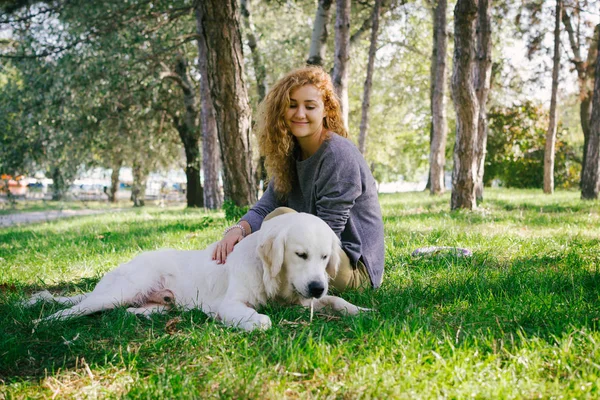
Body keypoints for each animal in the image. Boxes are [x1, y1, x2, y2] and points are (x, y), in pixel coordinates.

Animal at [23, 212, 368, 332]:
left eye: (325, 257)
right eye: (300, 255)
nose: (317, 286)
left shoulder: (302, 299)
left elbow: (337, 302)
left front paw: (359, 309)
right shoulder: (228, 303)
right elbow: (253, 316)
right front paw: (257, 321)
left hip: (150, 303)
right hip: (120, 290)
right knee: (73, 309)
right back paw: (40, 321)